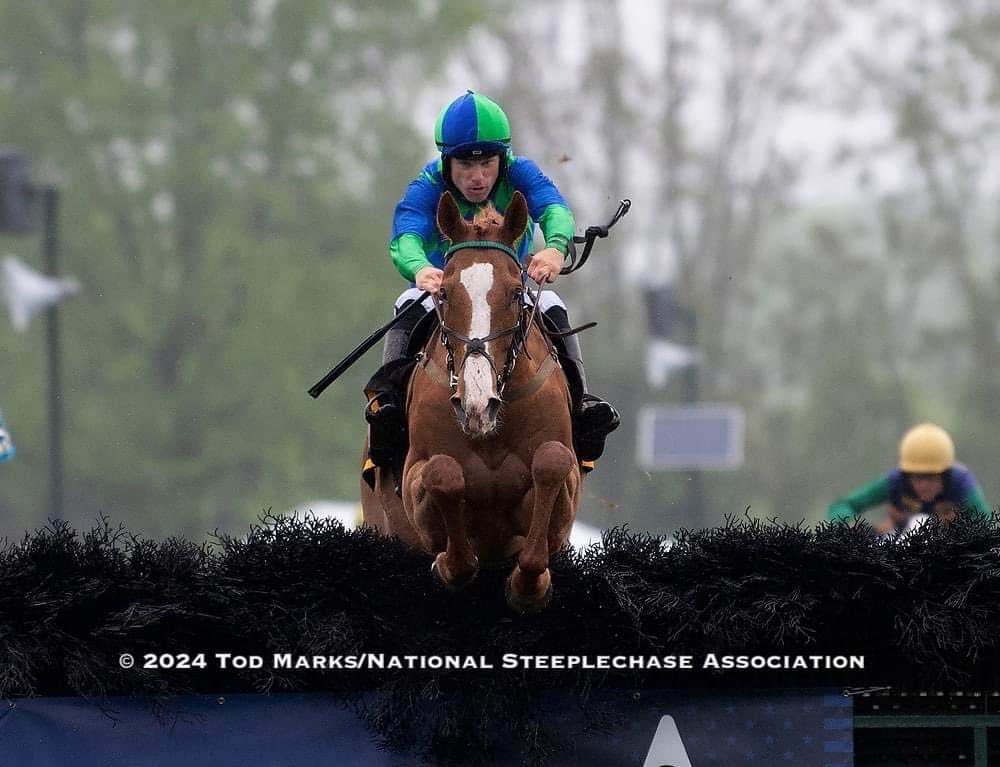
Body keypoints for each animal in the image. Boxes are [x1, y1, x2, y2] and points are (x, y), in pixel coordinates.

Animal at [362, 190, 584, 612]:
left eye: (514, 293)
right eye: (444, 293)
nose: (477, 404)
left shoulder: (566, 485)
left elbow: (552, 462)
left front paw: (528, 584)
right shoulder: (414, 478)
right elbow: (442, 473)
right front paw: (448, 565)